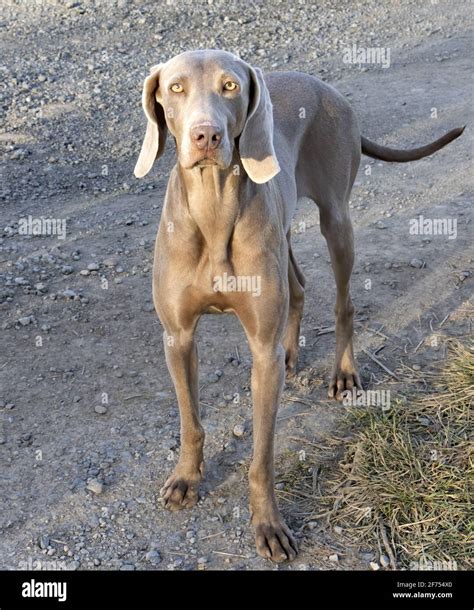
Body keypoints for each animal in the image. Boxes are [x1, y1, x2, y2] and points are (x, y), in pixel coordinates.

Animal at [133, 48, 462, 560]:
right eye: (176, 88)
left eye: (230, 86)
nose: (206, 136)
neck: (213, 208)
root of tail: (328, 89)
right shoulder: (178, 338)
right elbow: (190, 421)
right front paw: (186, 479)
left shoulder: (260, 354)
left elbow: (262, 455)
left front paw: (268, 524)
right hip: (282, 226)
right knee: (301, 286)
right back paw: (291, 351)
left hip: (336, 219)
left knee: (344, 302)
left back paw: (343, 372)